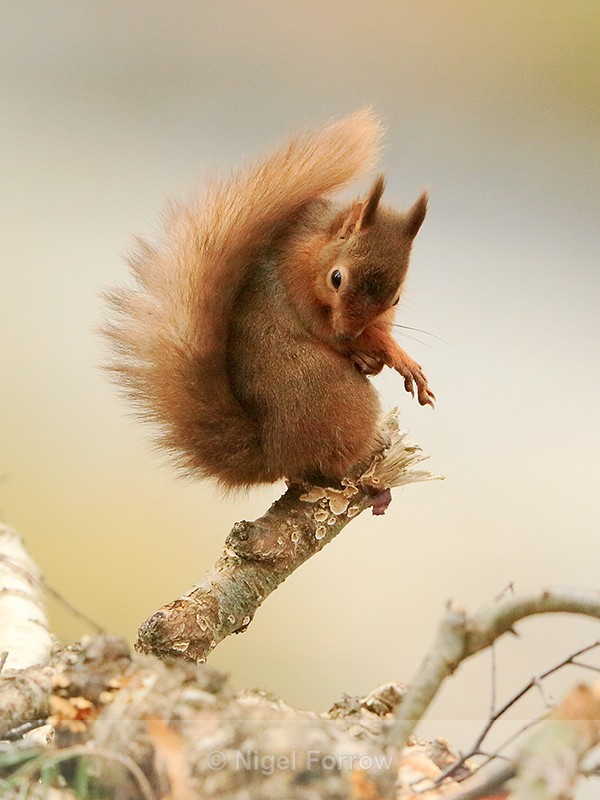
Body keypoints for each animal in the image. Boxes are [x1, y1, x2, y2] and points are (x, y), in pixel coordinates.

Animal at [103, 109, 434, 493]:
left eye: (396, 299)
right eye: (336, 279)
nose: (348, 334)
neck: (317, 246)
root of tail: (274, 454)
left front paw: (375, 357)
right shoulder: (294, 277)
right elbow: (322, 328)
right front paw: (394, 356)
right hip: (343, 403)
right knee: (324, 465)